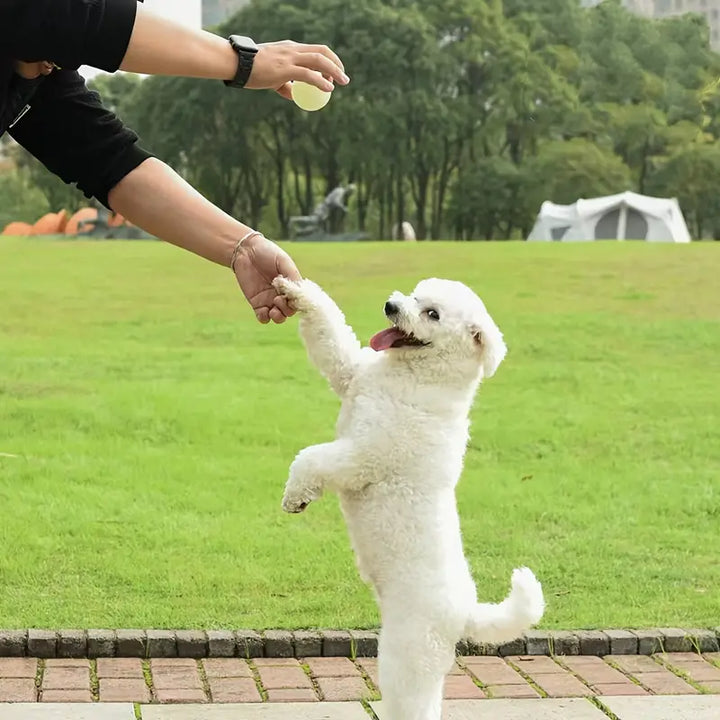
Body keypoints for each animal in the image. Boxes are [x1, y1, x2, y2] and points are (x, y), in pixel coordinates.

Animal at [272, 278, 544, 720]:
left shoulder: (362, 456)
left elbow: (311, 460)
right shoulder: (351, 374)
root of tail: (466, 612)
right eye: (416, 295)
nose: (391, 306)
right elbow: (330, 334)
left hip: (410, 654)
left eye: (432, 314)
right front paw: (295, 290)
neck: (417, 379)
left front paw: (296, 496)